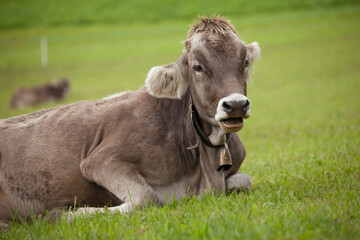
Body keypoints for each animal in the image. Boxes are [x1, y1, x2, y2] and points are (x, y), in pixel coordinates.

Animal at [0, 15, 262, 226]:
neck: (205, 168)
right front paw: (64, 214)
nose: (236, 104)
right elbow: (147, 198)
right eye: (198, 67)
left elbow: (245, 180)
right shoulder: (100, 160)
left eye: (244, 62)